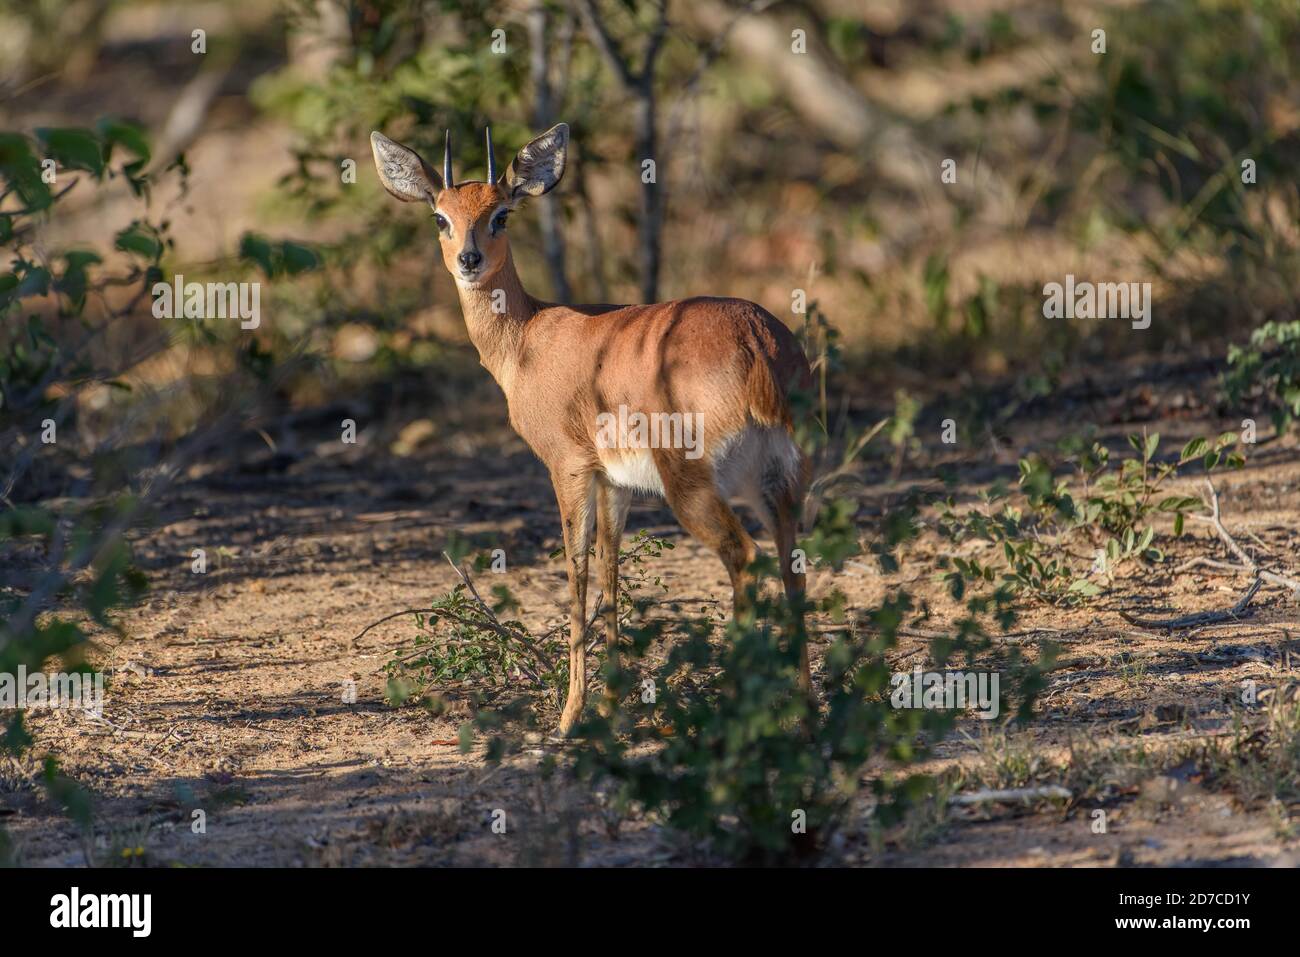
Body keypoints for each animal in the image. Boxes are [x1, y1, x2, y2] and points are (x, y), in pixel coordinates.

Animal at [371, 119, 806, 733]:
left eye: (500, 214)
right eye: (440, 216)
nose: (469, 260)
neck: (528, 340)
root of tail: (758, 344)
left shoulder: (569, 468)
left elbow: (575, 571)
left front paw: (571, 716)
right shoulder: (615, 482)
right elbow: (610, 568)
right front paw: (610, 705)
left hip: (695, 487)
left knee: (743, 557)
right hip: (780, 483)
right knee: (795, 565)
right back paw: (807, 713)